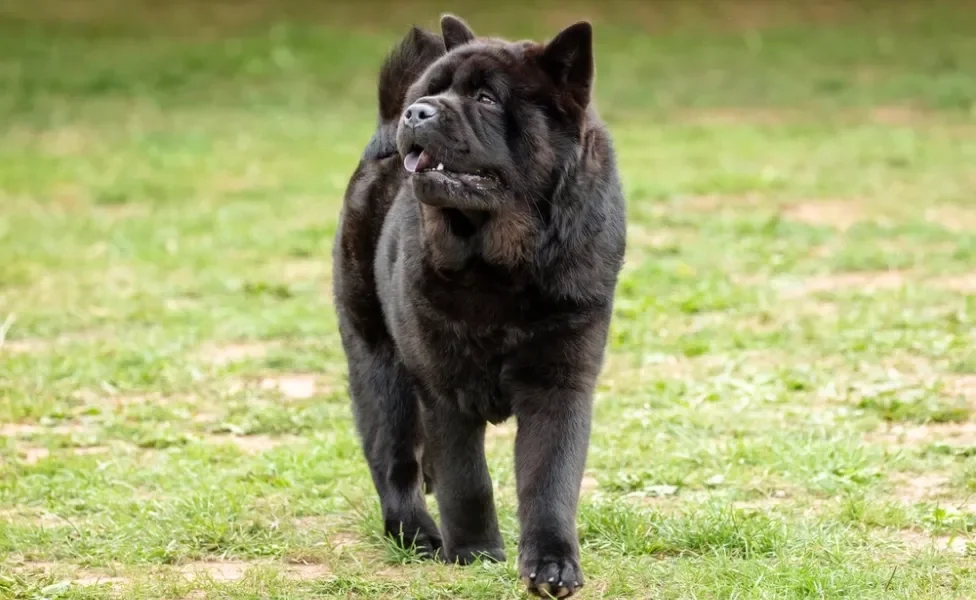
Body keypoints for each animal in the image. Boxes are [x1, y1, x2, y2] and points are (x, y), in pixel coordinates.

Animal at [334, 12, 624, 596]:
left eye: (487, 99)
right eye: (433, 91)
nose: (416, 111)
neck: (502, 268)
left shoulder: (561, 380)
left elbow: (550, 480)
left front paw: (552, 566)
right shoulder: (443, 385)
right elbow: (467, 479)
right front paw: (474, 553)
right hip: (379, 362)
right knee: (393, 458)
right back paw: (418, 534)